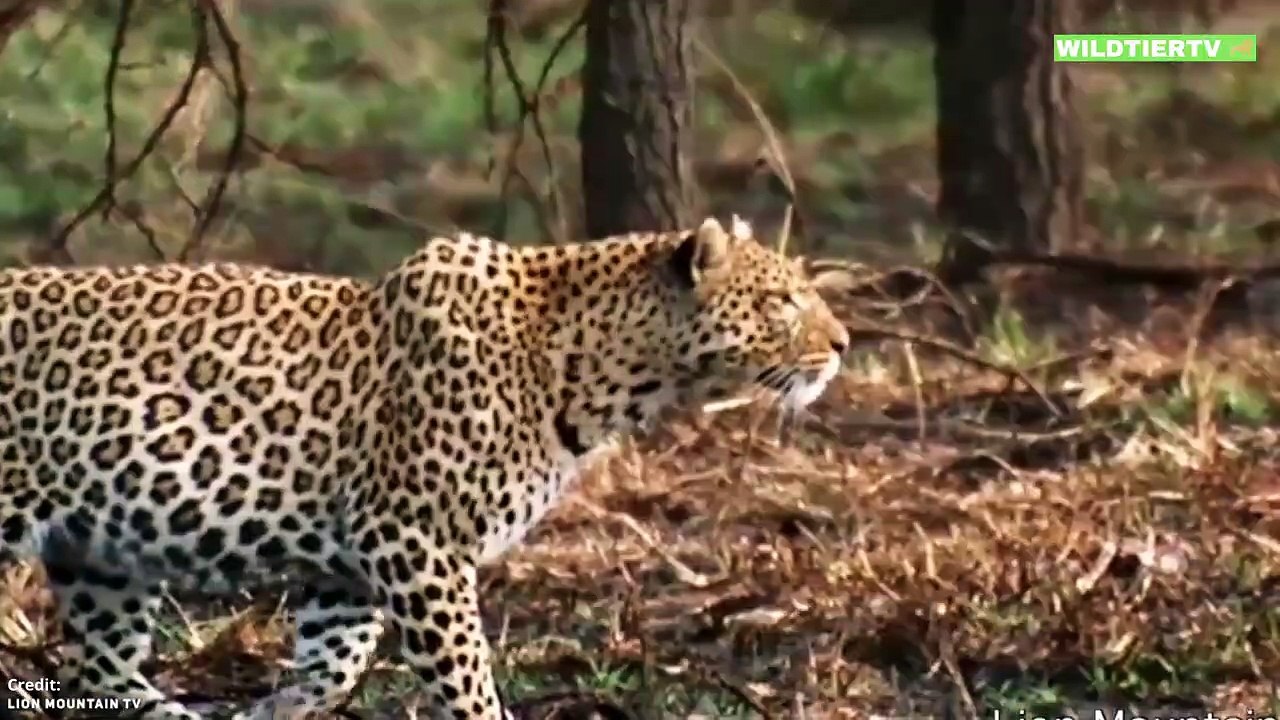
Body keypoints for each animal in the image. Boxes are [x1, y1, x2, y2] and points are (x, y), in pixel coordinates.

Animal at [0, 214, 849, 719]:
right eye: (781, 302)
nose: (843, 344)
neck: (601, 372)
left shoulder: (348, 567)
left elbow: (334, 663)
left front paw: (271, 710)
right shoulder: (415, 541)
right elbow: (465, 676)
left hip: (100, 555)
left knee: (101, 666)